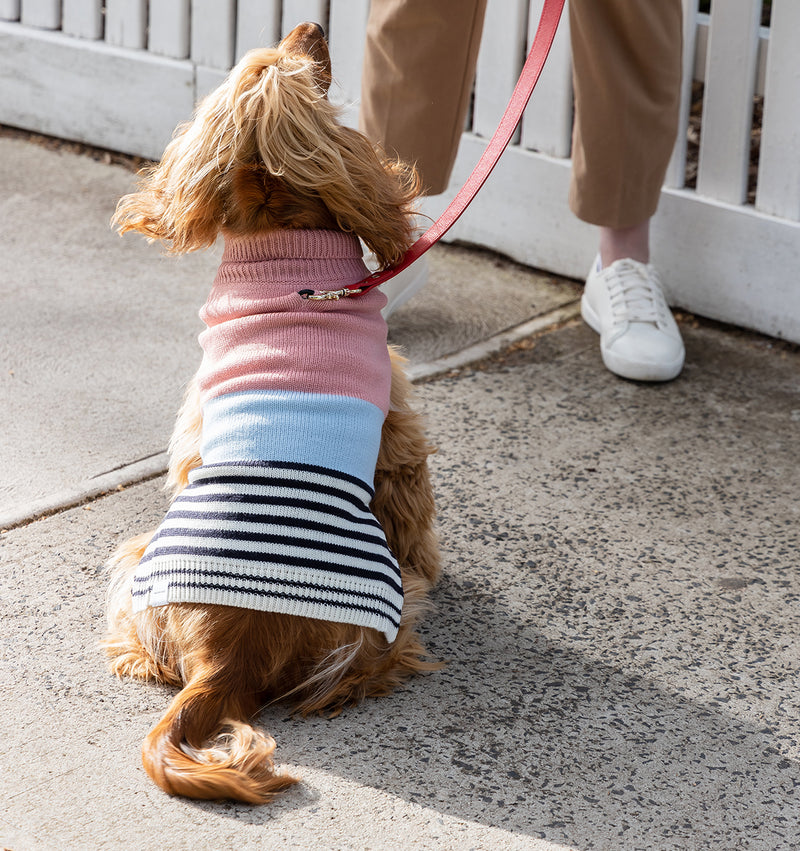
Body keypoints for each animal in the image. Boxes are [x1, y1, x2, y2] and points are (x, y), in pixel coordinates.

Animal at [102, 20, 440, 804]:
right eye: (302, 66)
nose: (313, 24)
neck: (281, 240)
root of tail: (226, 656)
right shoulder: (399, 427)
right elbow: (416, 506)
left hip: (138, 560)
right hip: (386, 608)